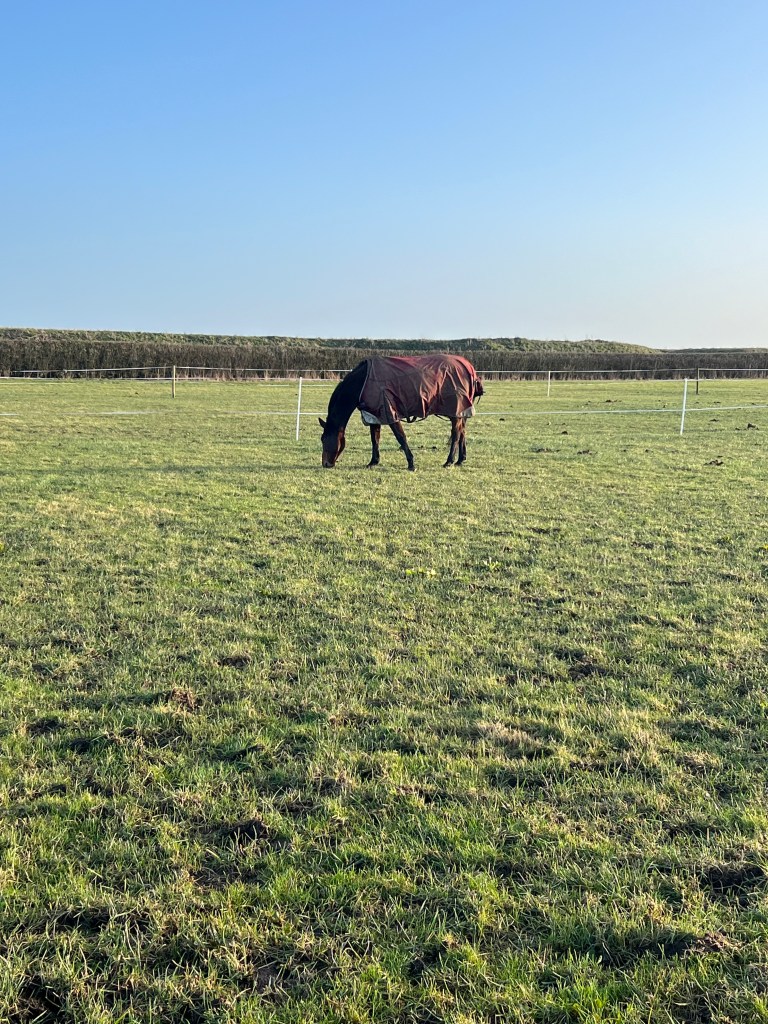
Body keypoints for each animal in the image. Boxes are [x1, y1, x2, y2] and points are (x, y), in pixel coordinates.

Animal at [319, 354, 484, 471]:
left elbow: (401, 437)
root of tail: (468, 367)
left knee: (456, 434)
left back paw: (449, 461)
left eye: (323, 439)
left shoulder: (390, 413)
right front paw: (373, 462)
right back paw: (460, 460)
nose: (325, 463)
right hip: (458, 412)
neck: (364, 381)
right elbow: (375, 439)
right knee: (462, 432)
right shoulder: (374, 415)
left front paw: (411, 463)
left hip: (455, 409)